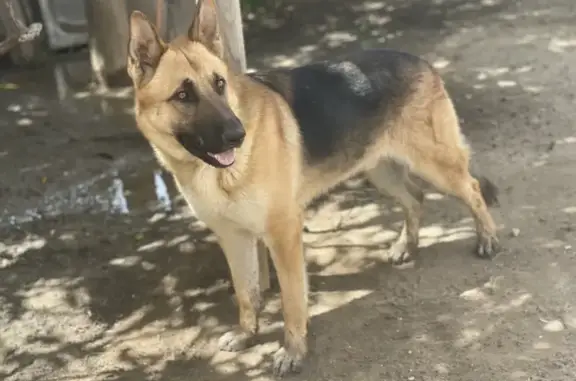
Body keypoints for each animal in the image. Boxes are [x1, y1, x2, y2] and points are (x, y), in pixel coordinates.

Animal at [126, 0, 500, 374]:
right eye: (183, 95)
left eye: (219, 84)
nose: (238, 135)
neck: (214, 173)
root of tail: (421, 60)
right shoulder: (233, 237)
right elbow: (246, 292)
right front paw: (247, 333)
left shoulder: (283, 234)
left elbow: (292, 301)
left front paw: (292, 352)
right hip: (379, 172)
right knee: (416, 197)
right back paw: (406, 246)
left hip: (436, 165)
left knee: (471, 188)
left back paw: (487, 239)